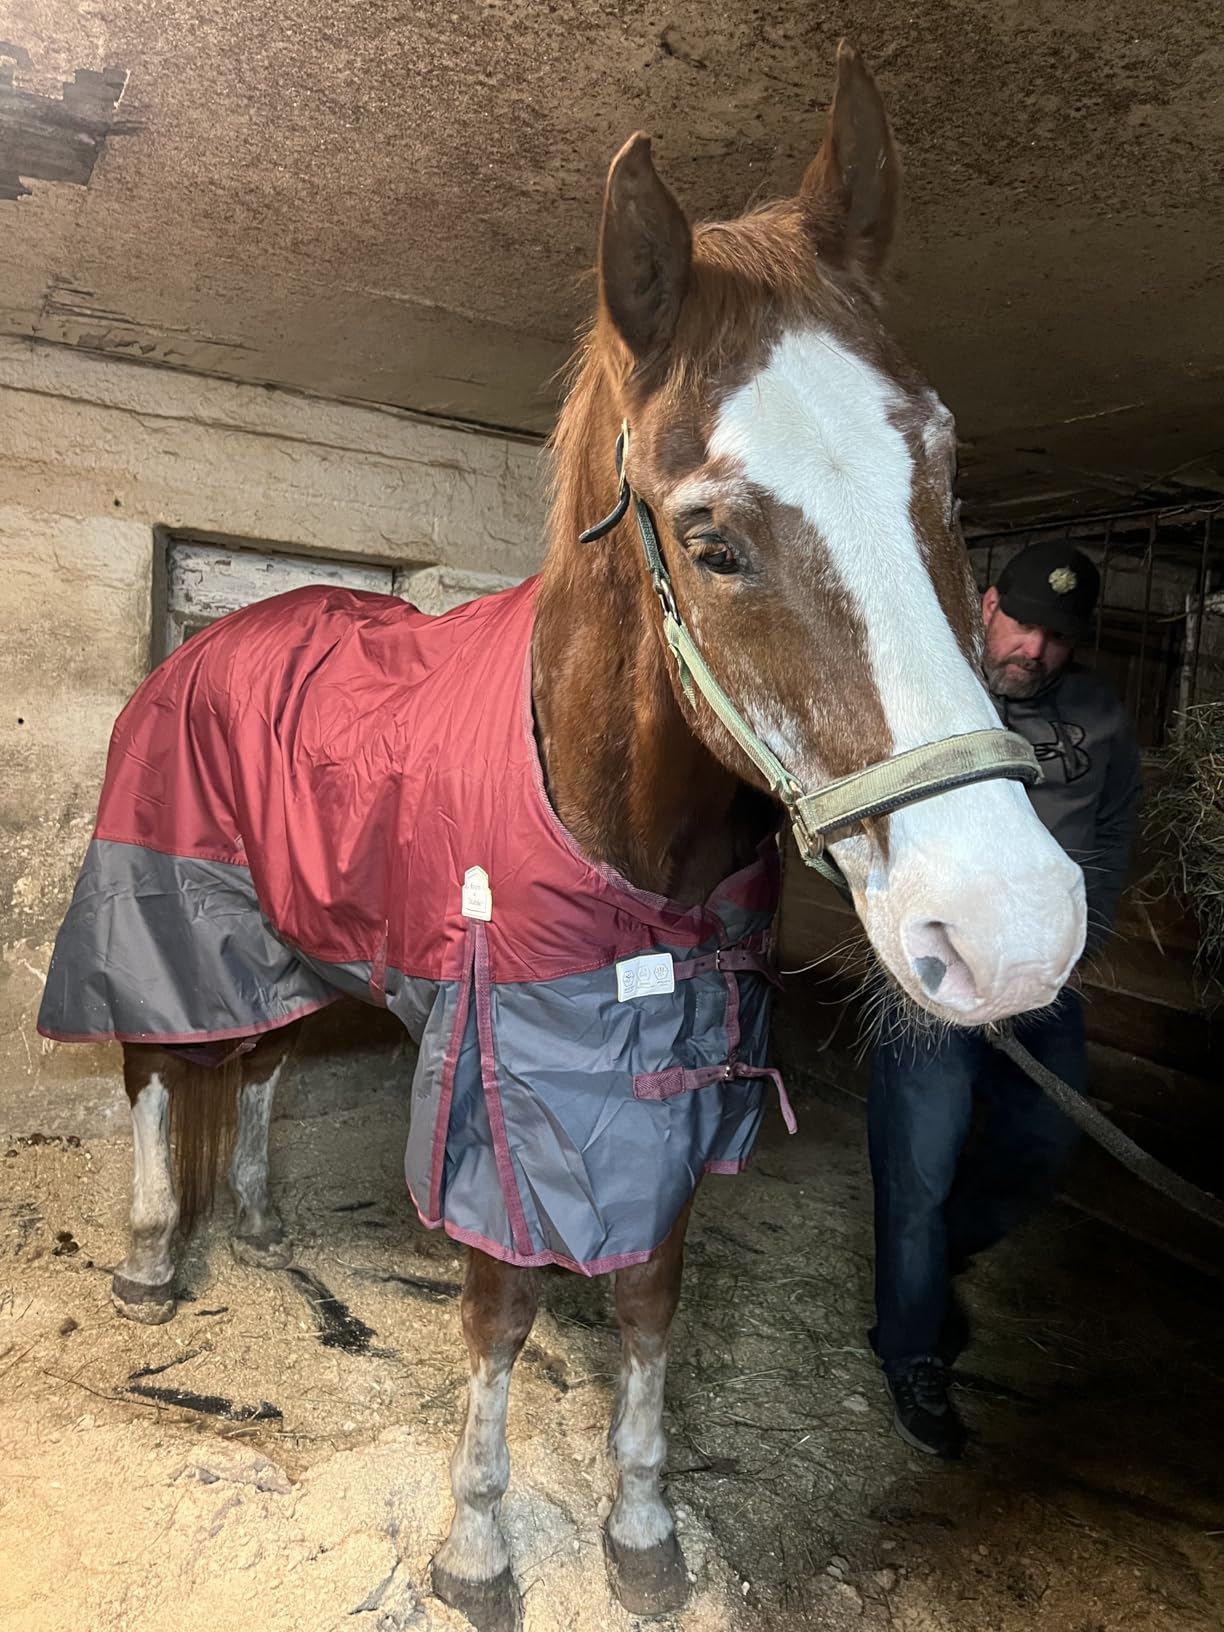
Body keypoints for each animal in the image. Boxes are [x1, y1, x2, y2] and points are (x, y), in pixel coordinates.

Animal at [38, 44, 1085, 1631]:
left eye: (948, 482)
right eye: (711, 540)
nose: (1015, 926)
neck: (629, 845)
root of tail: (211, 642)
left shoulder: (666, 1091)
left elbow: (648, 1297)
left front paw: (642, 1535)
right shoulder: (501, 1090)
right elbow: (505, 1308)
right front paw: (476, 1551)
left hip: (288, 934)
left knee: (265, 1061)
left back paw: (266, 1229)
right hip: (170, 912)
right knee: (161, 1064)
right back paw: (157, 1265)